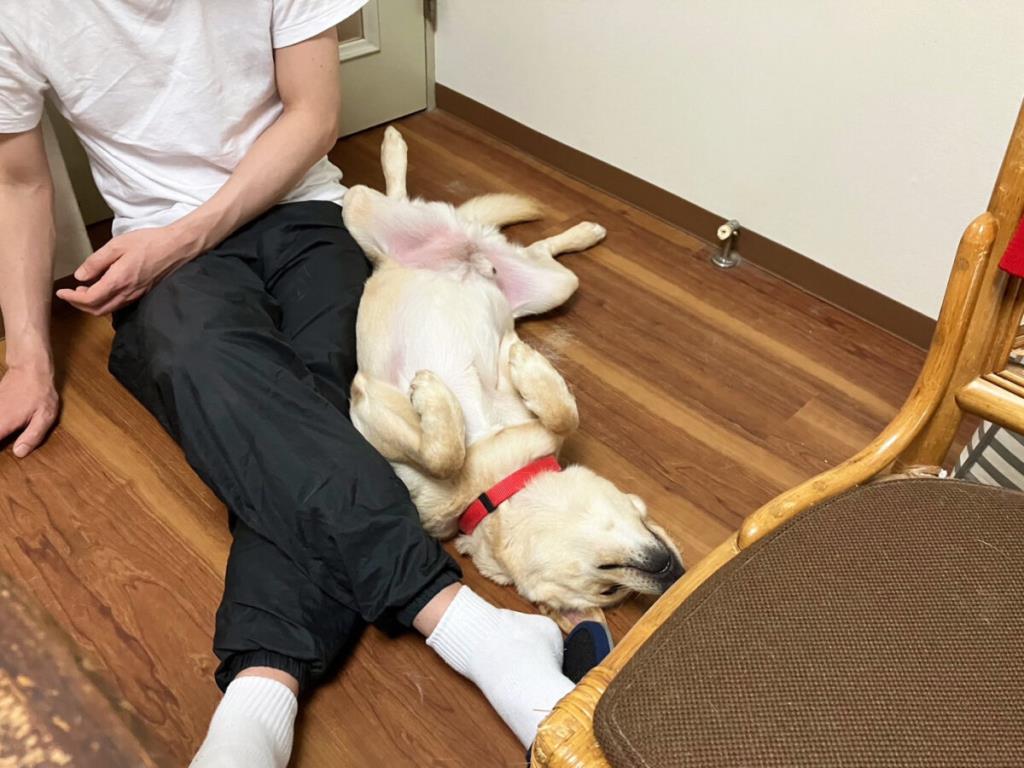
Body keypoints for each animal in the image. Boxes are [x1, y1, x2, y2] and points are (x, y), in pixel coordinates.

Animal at [343, 127, 684, 629]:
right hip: (362, 210)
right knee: (389, 195)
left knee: (537, 250)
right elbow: (444, 453)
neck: (494, 483)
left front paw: (526, 366)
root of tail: (470, 243)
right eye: (608, 582)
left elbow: (562, 414)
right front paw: (436, 392)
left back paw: (584, 232)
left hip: (554, 286)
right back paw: (394, 145)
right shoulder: (366, 403)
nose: (671, 572)